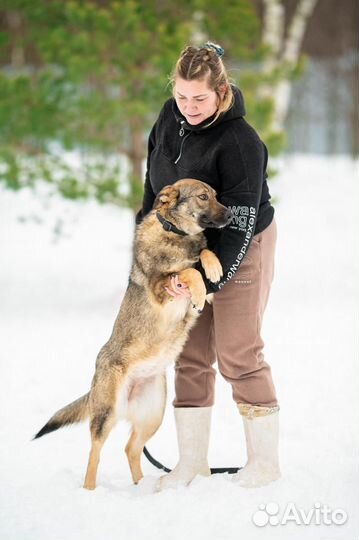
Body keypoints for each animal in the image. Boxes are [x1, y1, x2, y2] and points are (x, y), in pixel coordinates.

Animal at [34, 178, 233, 490]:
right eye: (203, 197)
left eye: (215, 195)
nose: (232, 215)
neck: (174, 232)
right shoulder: (162, 289)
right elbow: (188, 273)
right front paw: (200, 285)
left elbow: (201, 255)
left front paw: (212, 267)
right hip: (107, 414)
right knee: (95, 453)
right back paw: (90, 491)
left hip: (153, 413)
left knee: (130, 448)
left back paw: (144, 487)